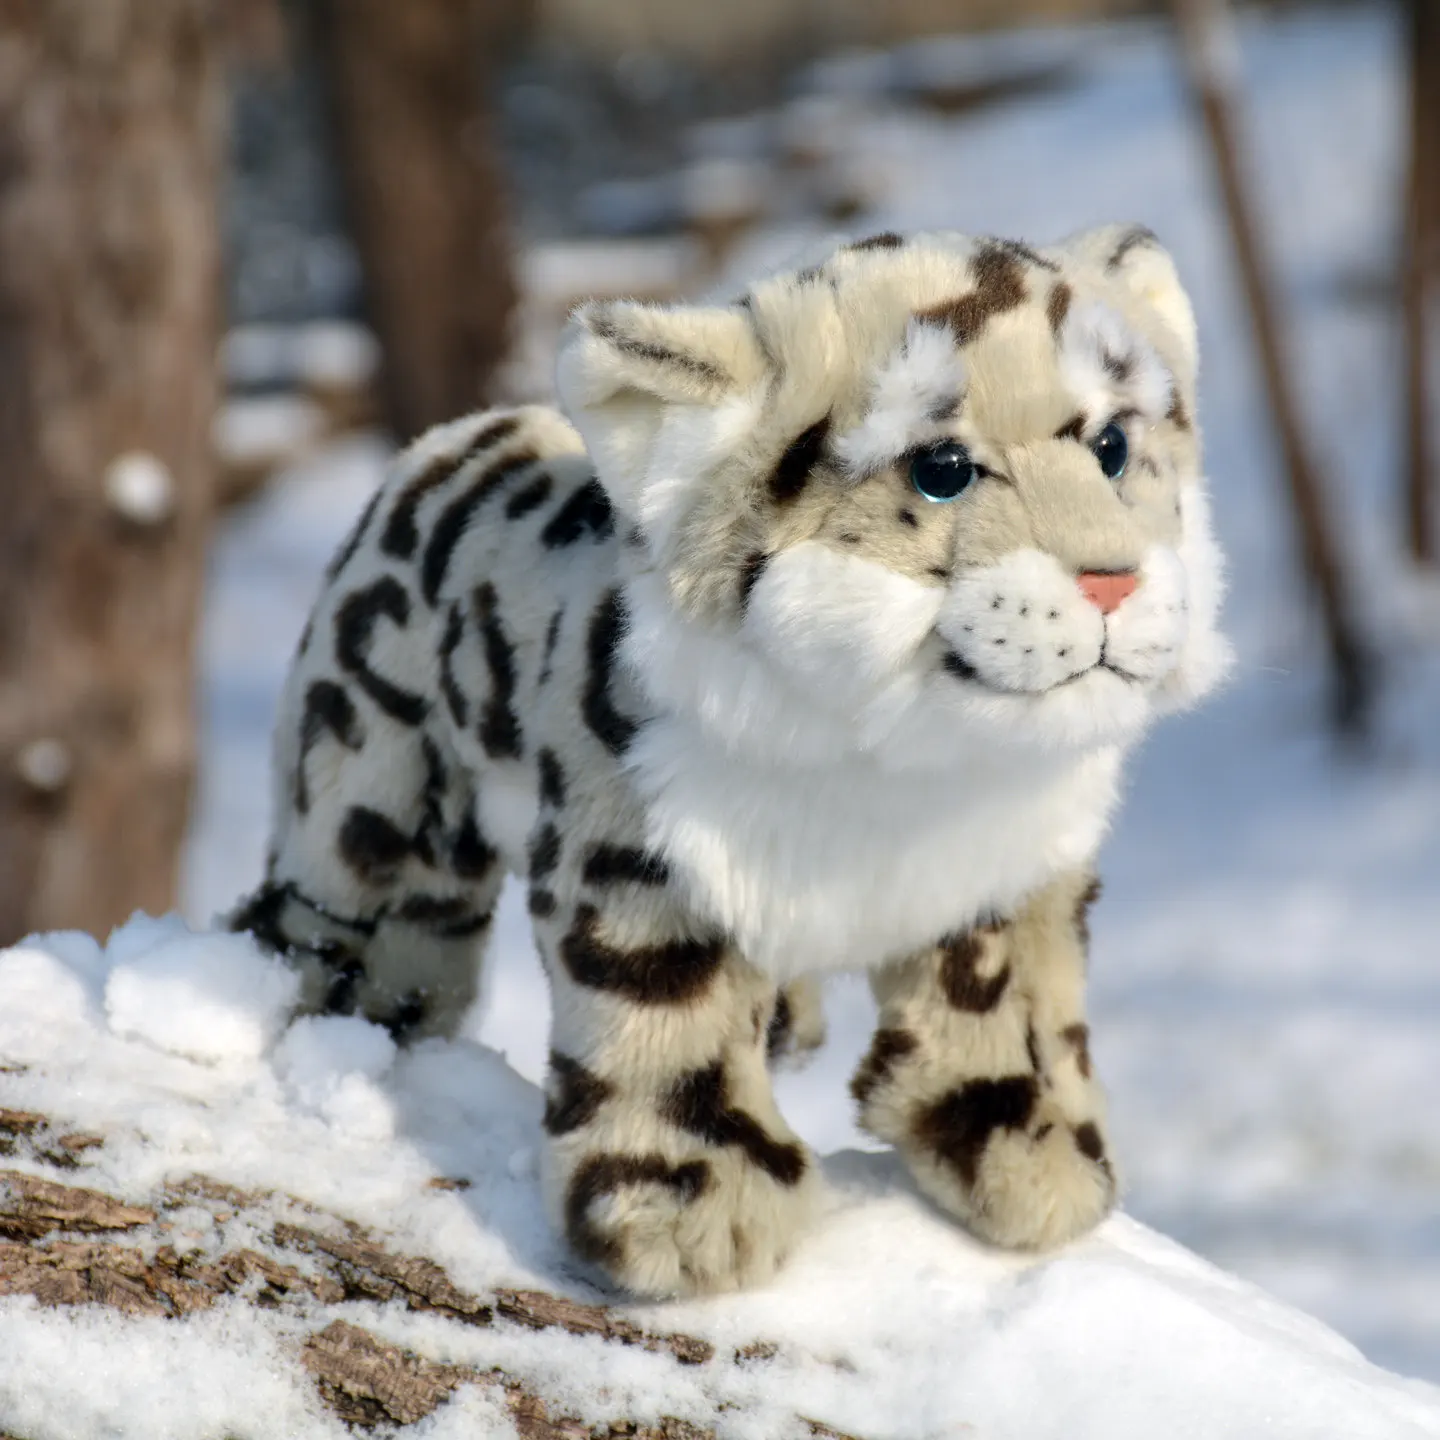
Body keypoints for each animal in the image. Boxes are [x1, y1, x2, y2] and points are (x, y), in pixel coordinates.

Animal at [229, 225, 1231, 1298]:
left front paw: (1033, 1156)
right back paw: (340, 1017)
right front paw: (687, 1210)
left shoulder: (1003, 874)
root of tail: (453, 438)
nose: (1112, 580)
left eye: (1114, 446)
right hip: (376, 784)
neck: (908, 784)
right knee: (361, 905)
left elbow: (998, 1004)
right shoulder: (644, 857)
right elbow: (666, 1008)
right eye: (943, 468)